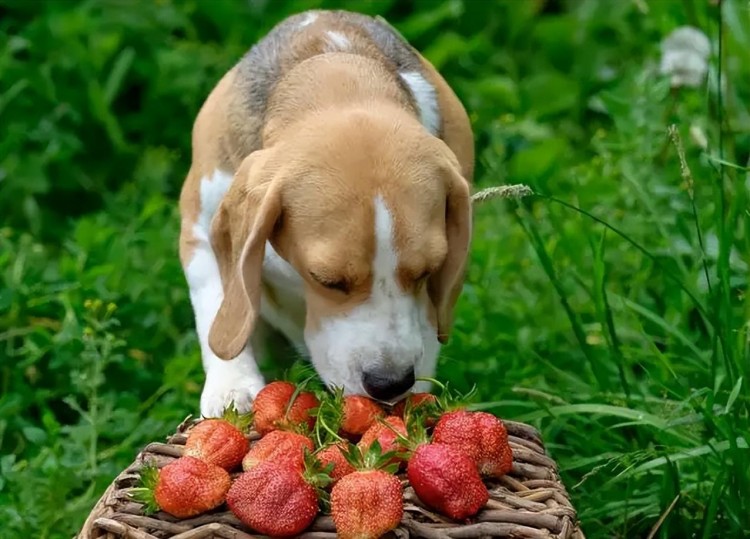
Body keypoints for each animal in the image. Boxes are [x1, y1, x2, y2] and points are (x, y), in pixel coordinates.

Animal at [180, 10, 476, 420]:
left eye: (427, 272)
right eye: (327, 280)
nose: (390, 383)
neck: (337, 73)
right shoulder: (199, 226)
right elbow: (217, 299)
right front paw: (232, 386)